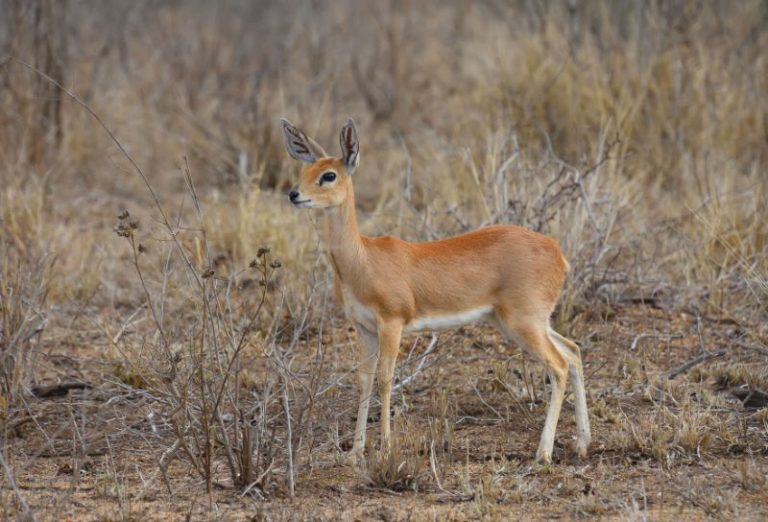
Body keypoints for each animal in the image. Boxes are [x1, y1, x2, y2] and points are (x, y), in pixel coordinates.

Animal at [280, 116, 588, 462]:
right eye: (305, 170)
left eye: (329, 175)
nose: (294, 194)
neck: (362, 257)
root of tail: (557, 253)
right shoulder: (364, 327)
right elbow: (364, 380)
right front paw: (356, 452)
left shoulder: (392, 323)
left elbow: (386, 380)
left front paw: (386, 448)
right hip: (520, 322)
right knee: (574, 352)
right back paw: (582, 444)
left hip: (524, 323)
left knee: (559, 366)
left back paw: (543, 454)